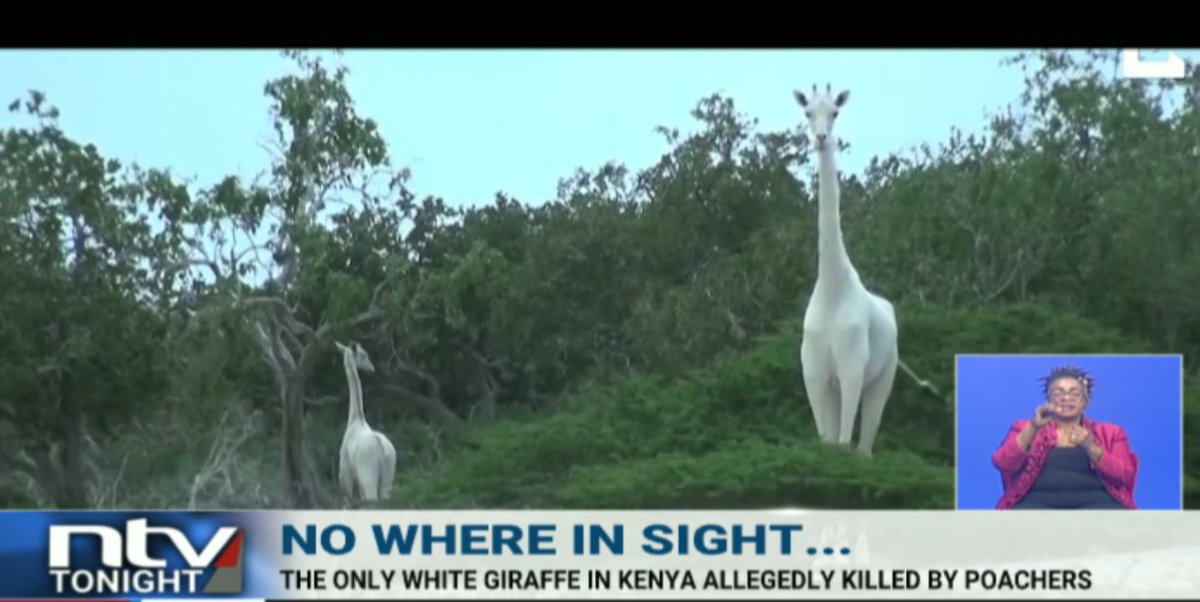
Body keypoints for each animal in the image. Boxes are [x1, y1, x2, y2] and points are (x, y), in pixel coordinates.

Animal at [794, 83, 899, 457]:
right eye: (808, 111)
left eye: (835, 112)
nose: (821, 138)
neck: (832, 289)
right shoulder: (813, 373)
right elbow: (827, 442)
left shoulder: (853, 369)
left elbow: (844, 443)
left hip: (884, 376)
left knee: (865, 445)